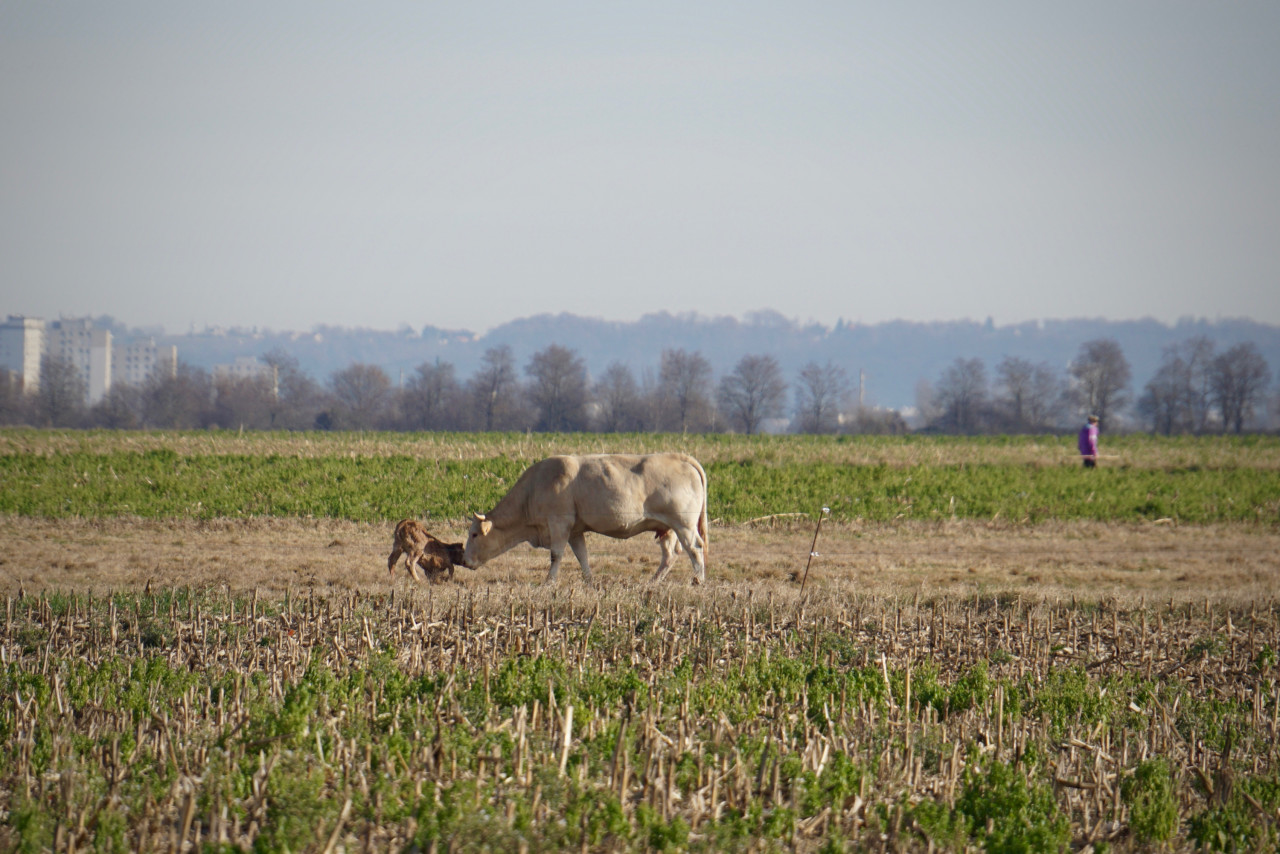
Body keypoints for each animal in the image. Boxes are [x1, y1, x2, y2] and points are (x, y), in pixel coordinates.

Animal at [460, 453, 706, 588]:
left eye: (474, 534)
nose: (464, 561)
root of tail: (680, 457)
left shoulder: (559, 523)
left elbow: (556, 555)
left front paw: (549, 582)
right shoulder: (575, 531)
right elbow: (582, 556)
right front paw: (590, 582)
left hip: (684, 525)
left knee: (695, 549)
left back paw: (698, 581)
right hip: (667, 529)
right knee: (670, 555)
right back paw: (653, 582)